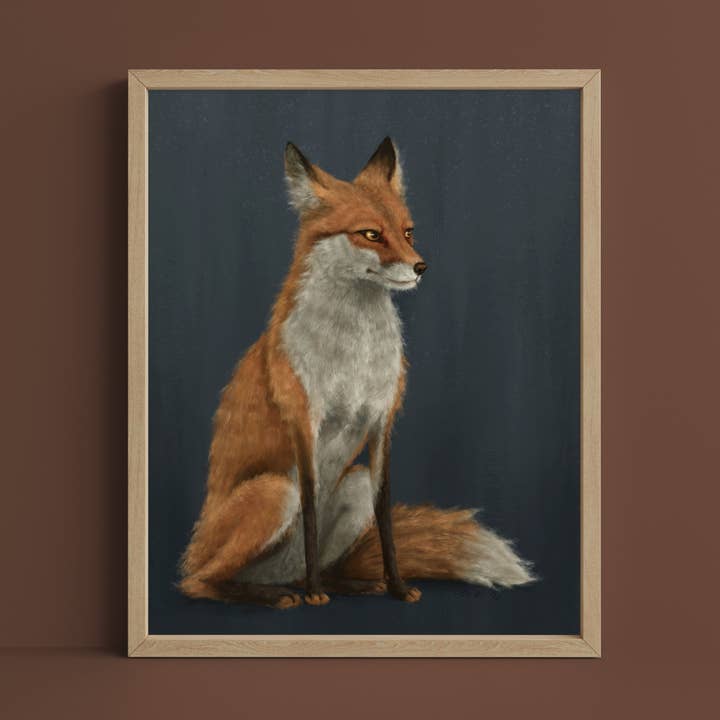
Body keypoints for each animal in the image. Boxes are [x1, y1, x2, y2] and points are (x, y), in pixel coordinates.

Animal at [179, 137, 534, 609]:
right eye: (370, 234)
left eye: (408, 232)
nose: (421, 267)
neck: (356, 354)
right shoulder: (304, 422)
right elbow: (311, 512)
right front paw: (315, 595)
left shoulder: (382, 422)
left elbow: (385, 519)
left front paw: (396, 586)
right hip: (275, 491)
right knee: (200, 582)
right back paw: (277, 593)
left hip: (354, 483)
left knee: (319, 564)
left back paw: (348, 584)